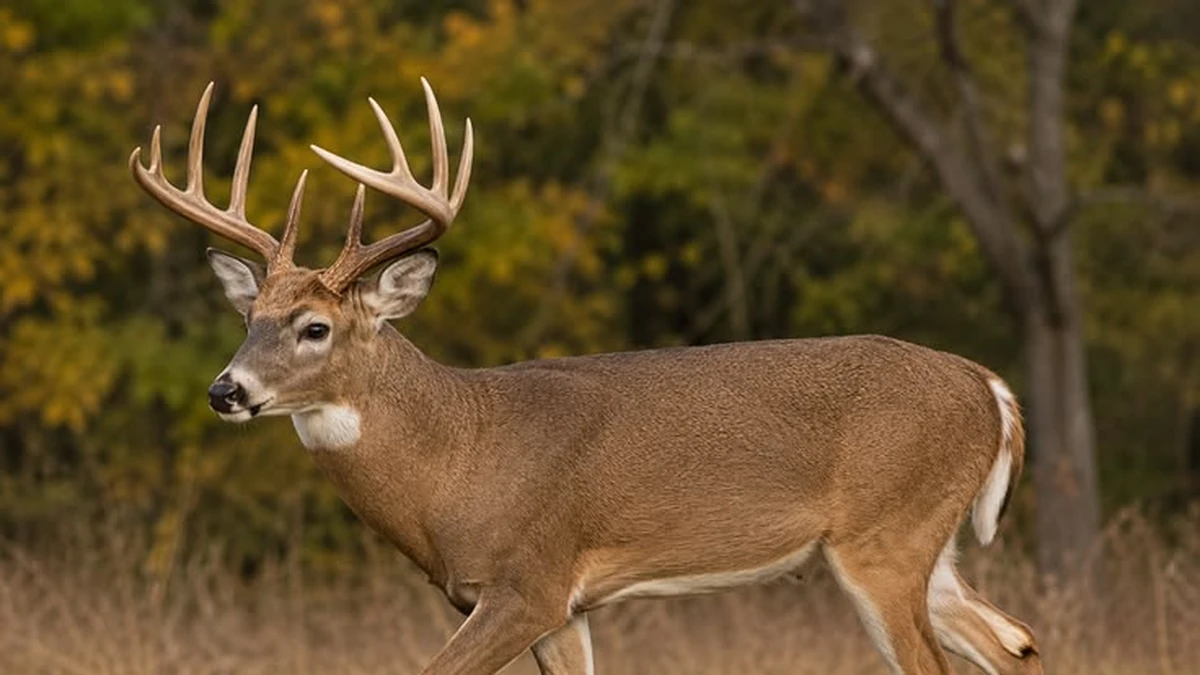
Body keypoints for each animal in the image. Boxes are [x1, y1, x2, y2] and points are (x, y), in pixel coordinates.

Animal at [129, 80, 1043, 675]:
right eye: (248, 319)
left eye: (314, 327)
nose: (225, 390)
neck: (456, 458)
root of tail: (992, 389)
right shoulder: (563, 609)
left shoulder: (529, 581)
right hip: (923, 542)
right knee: (1017, 643)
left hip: (886, 533)